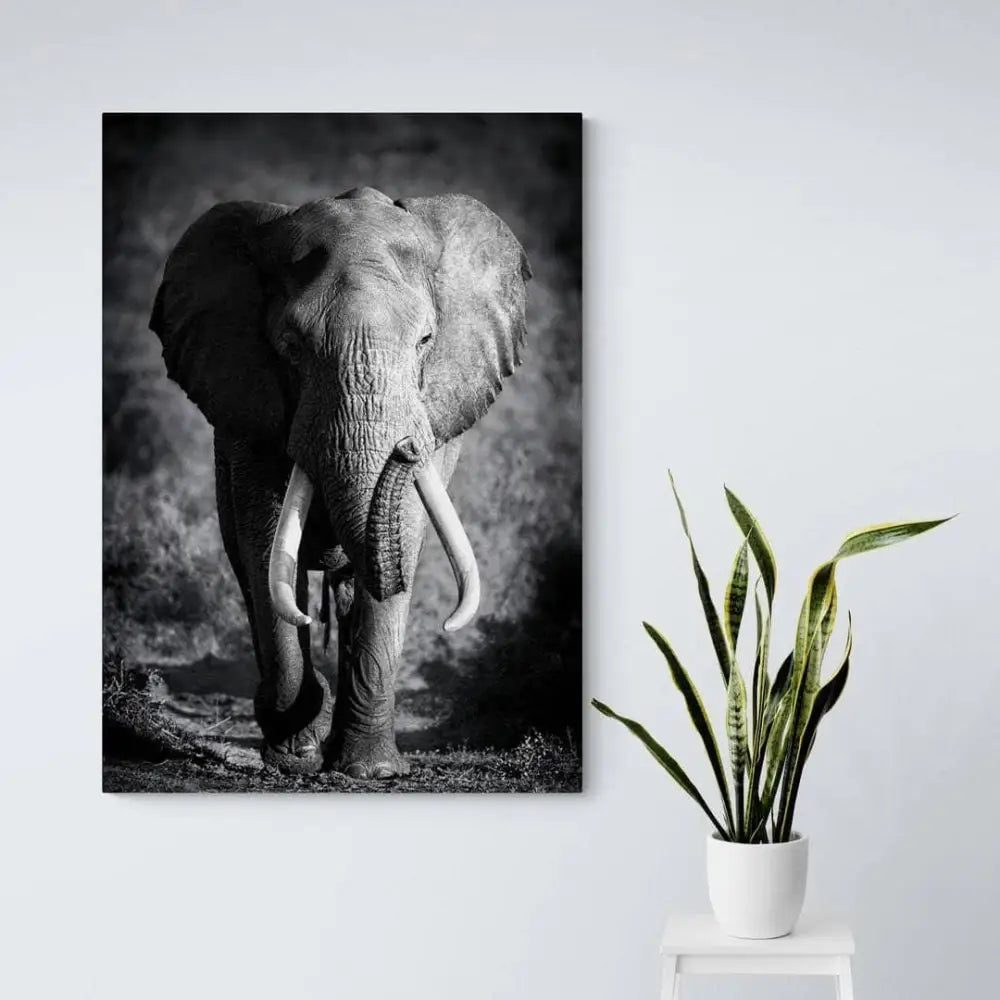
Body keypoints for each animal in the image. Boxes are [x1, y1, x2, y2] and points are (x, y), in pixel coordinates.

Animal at [150, 186, 531, 779]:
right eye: (291, 346)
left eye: (426, 340)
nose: (405, 449)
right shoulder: (247, 409)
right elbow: (265, 548)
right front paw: (294, 756)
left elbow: (404, 535)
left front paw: (371, 772)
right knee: (252, 568)